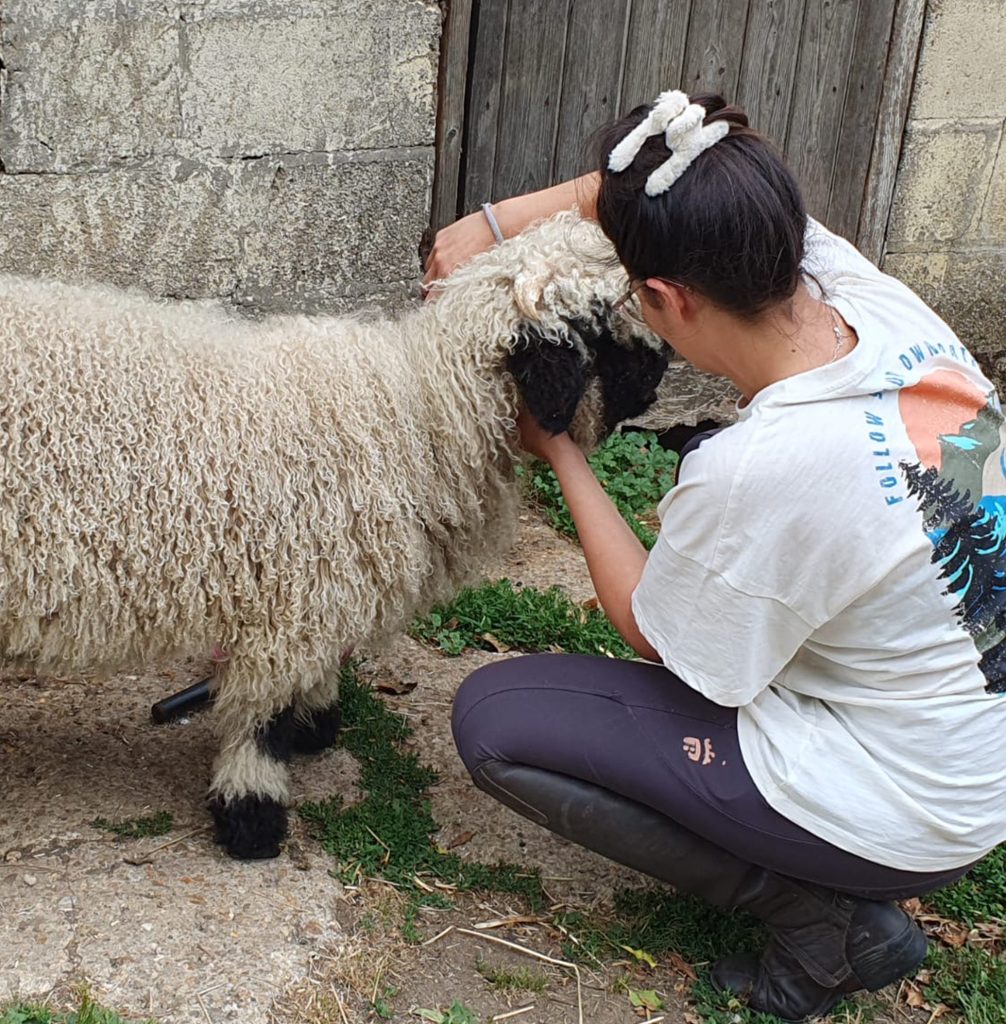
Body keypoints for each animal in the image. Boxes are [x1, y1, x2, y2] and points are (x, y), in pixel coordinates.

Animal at [0, 210, 671, 859]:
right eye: (599, 329)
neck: (417, 416)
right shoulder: (290, 599)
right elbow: (262, 717)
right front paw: (253, 816)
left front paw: (316, 724)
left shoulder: (322, 586)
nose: (663, 365)